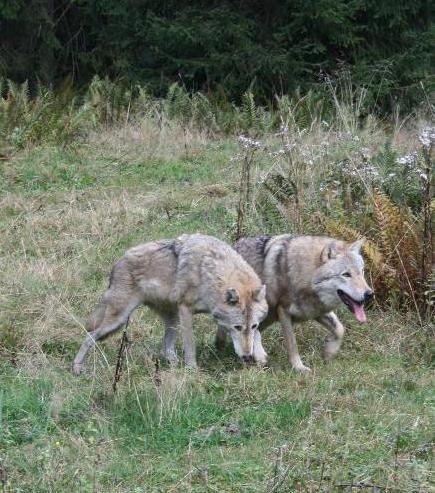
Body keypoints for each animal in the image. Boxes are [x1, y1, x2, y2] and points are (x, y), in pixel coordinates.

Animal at [73, 233, 270, 370]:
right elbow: (190, 345)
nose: (247, 357)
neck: (209, 271)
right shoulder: (185, 309)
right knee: (88, 337)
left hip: (171, 320)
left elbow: (256, 336)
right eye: (237, 327)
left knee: (166, 349)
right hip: (118, 321)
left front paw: (260, 356)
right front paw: (192, 370)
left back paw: (173, 365)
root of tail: (118, 262)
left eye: (253, 326)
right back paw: (77, 367)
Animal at [215, 234, 374, 368]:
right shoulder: (283, 311)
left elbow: (340, 329)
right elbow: (292, 345)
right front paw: (299, 368)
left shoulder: (315, 311)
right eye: (346, 274)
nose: (369, 294)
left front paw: (329, 352)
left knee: (254, 330)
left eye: (362, 272)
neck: (304, 275)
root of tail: (236, 244)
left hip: (268, 316)